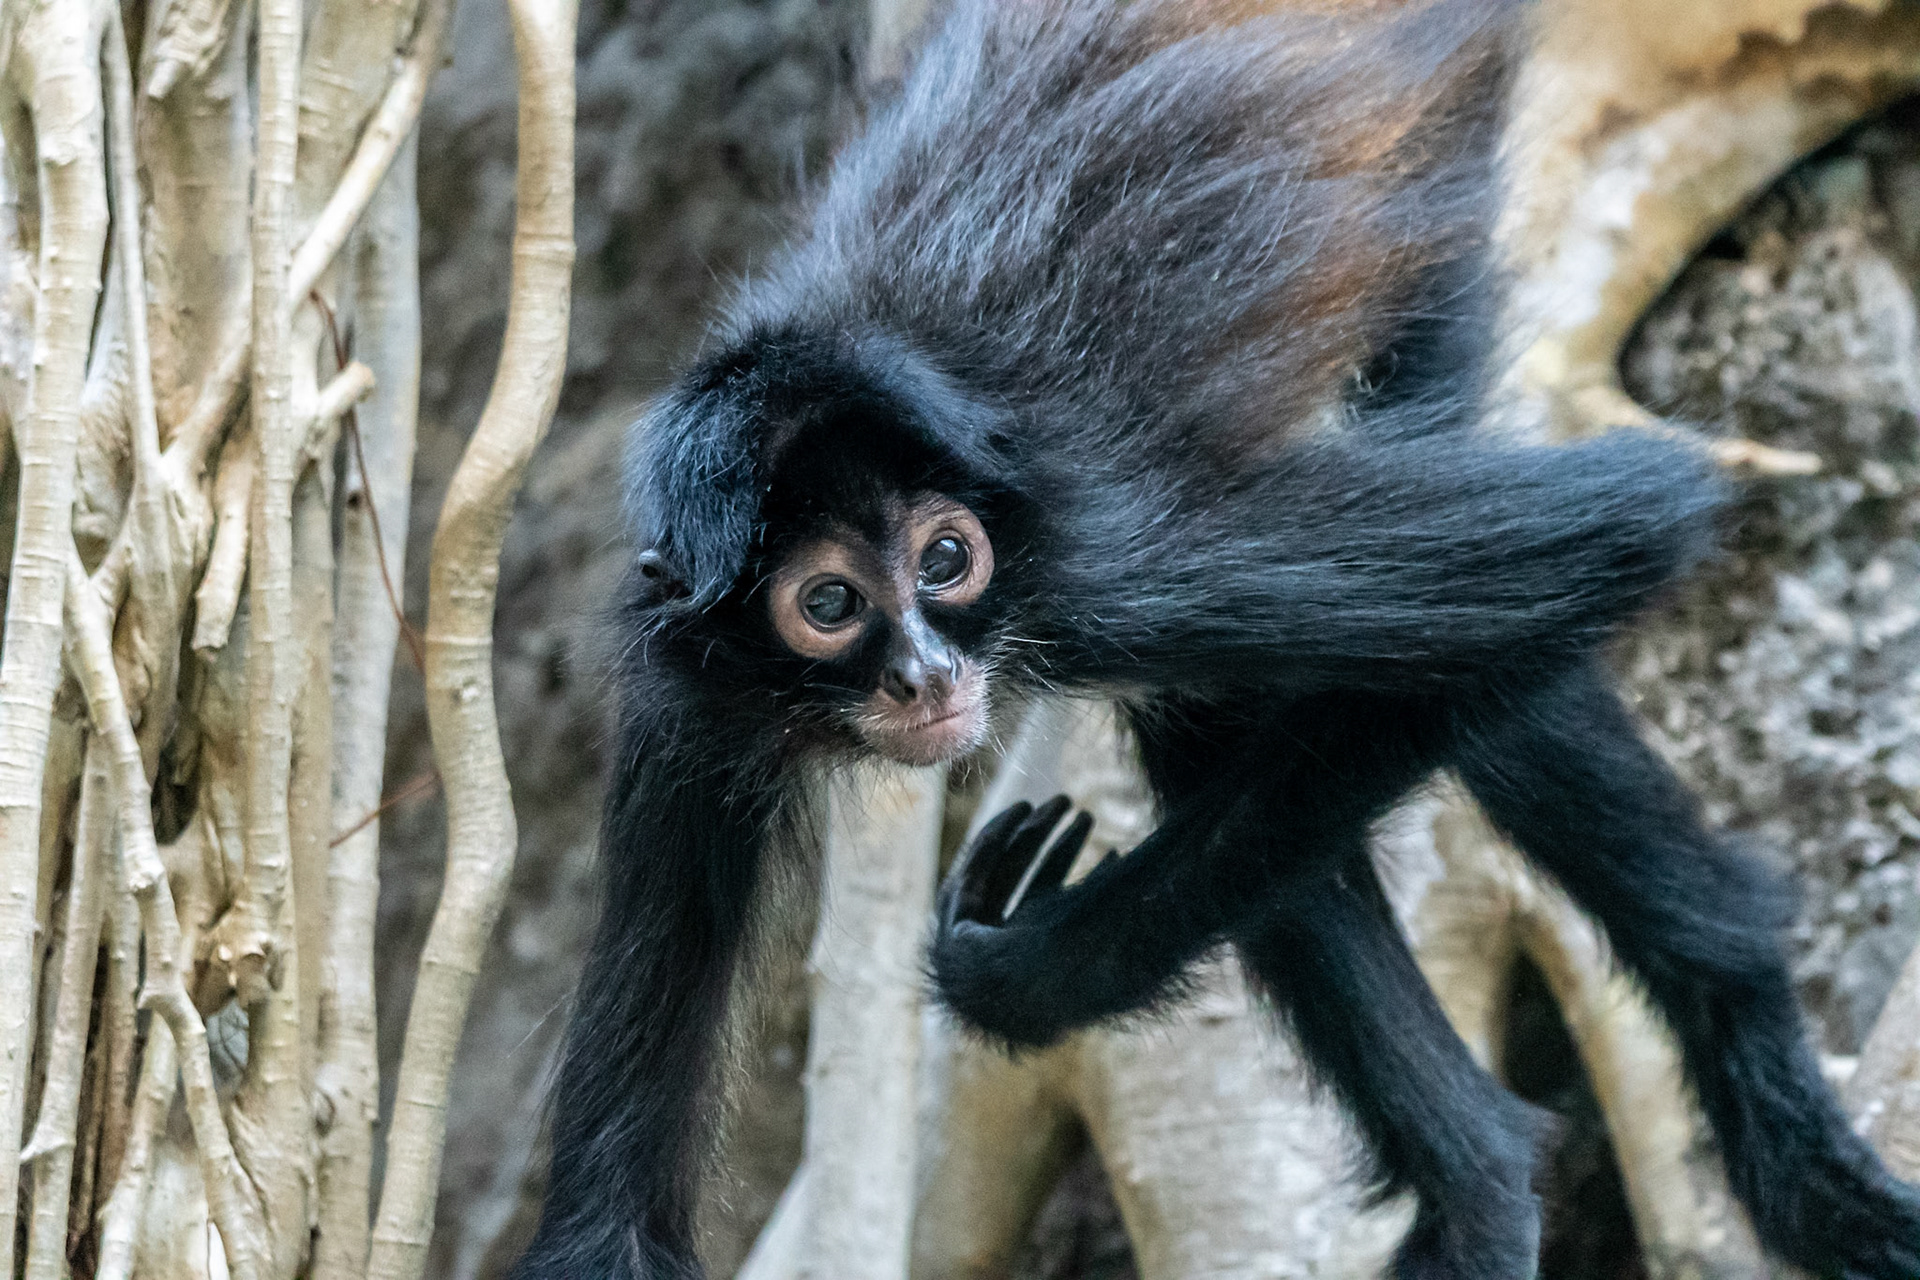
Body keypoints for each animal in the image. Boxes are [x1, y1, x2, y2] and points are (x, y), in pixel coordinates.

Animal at [512, 0, 1920, 1276]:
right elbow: (610, 1226)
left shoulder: (1105, 555)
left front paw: (1017, 974)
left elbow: (1635, 518)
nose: (923, 672)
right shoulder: (683, 702)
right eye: (828, 604)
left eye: (946, 560)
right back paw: (1481, 1176)